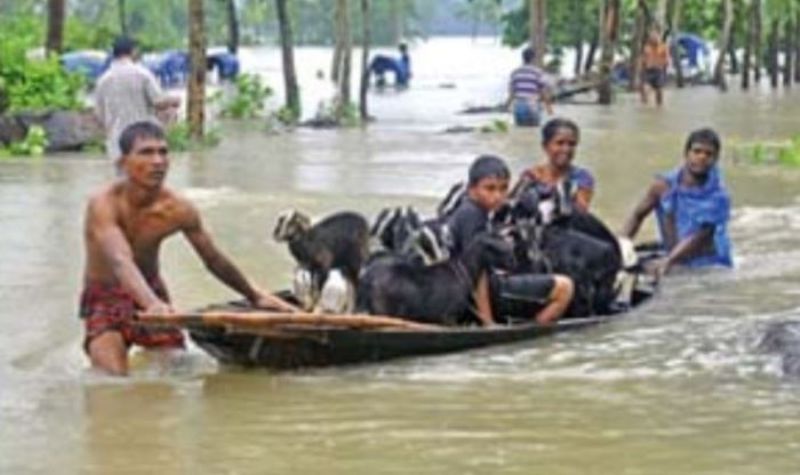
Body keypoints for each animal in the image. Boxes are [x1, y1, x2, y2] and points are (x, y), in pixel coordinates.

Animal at [354, 233, 512, 328]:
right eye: (502, 250)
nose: (514, 262)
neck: (465, 270)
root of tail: (367, 277)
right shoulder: (448, 318)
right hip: (383, 311)